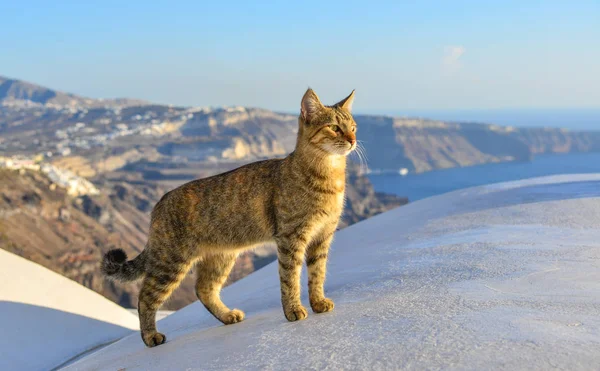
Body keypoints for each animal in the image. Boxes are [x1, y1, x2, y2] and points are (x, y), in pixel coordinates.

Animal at [102, 88, 356, 348]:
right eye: (334, 128)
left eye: (353, 127)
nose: (353, 140)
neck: (329, 177)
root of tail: (158, 205)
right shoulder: (291, 238)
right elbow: (290, 277)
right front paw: (293, 310)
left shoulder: (323, 236)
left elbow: (317, 273)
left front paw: (318, 302)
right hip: (171, 262)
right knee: (145, 296)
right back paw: (150, 336)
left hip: (220, 257)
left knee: (203, 289)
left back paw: (226, 315)